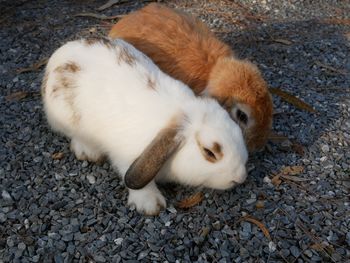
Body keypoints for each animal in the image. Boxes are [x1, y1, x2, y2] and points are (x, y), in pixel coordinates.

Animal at [41, 37, 249, 217]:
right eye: (209, 152)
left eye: (239, 132)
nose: (240, 178)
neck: (178, 115)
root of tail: (62, 51)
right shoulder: (127, 158)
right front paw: (151, 205)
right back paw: (88, 152)